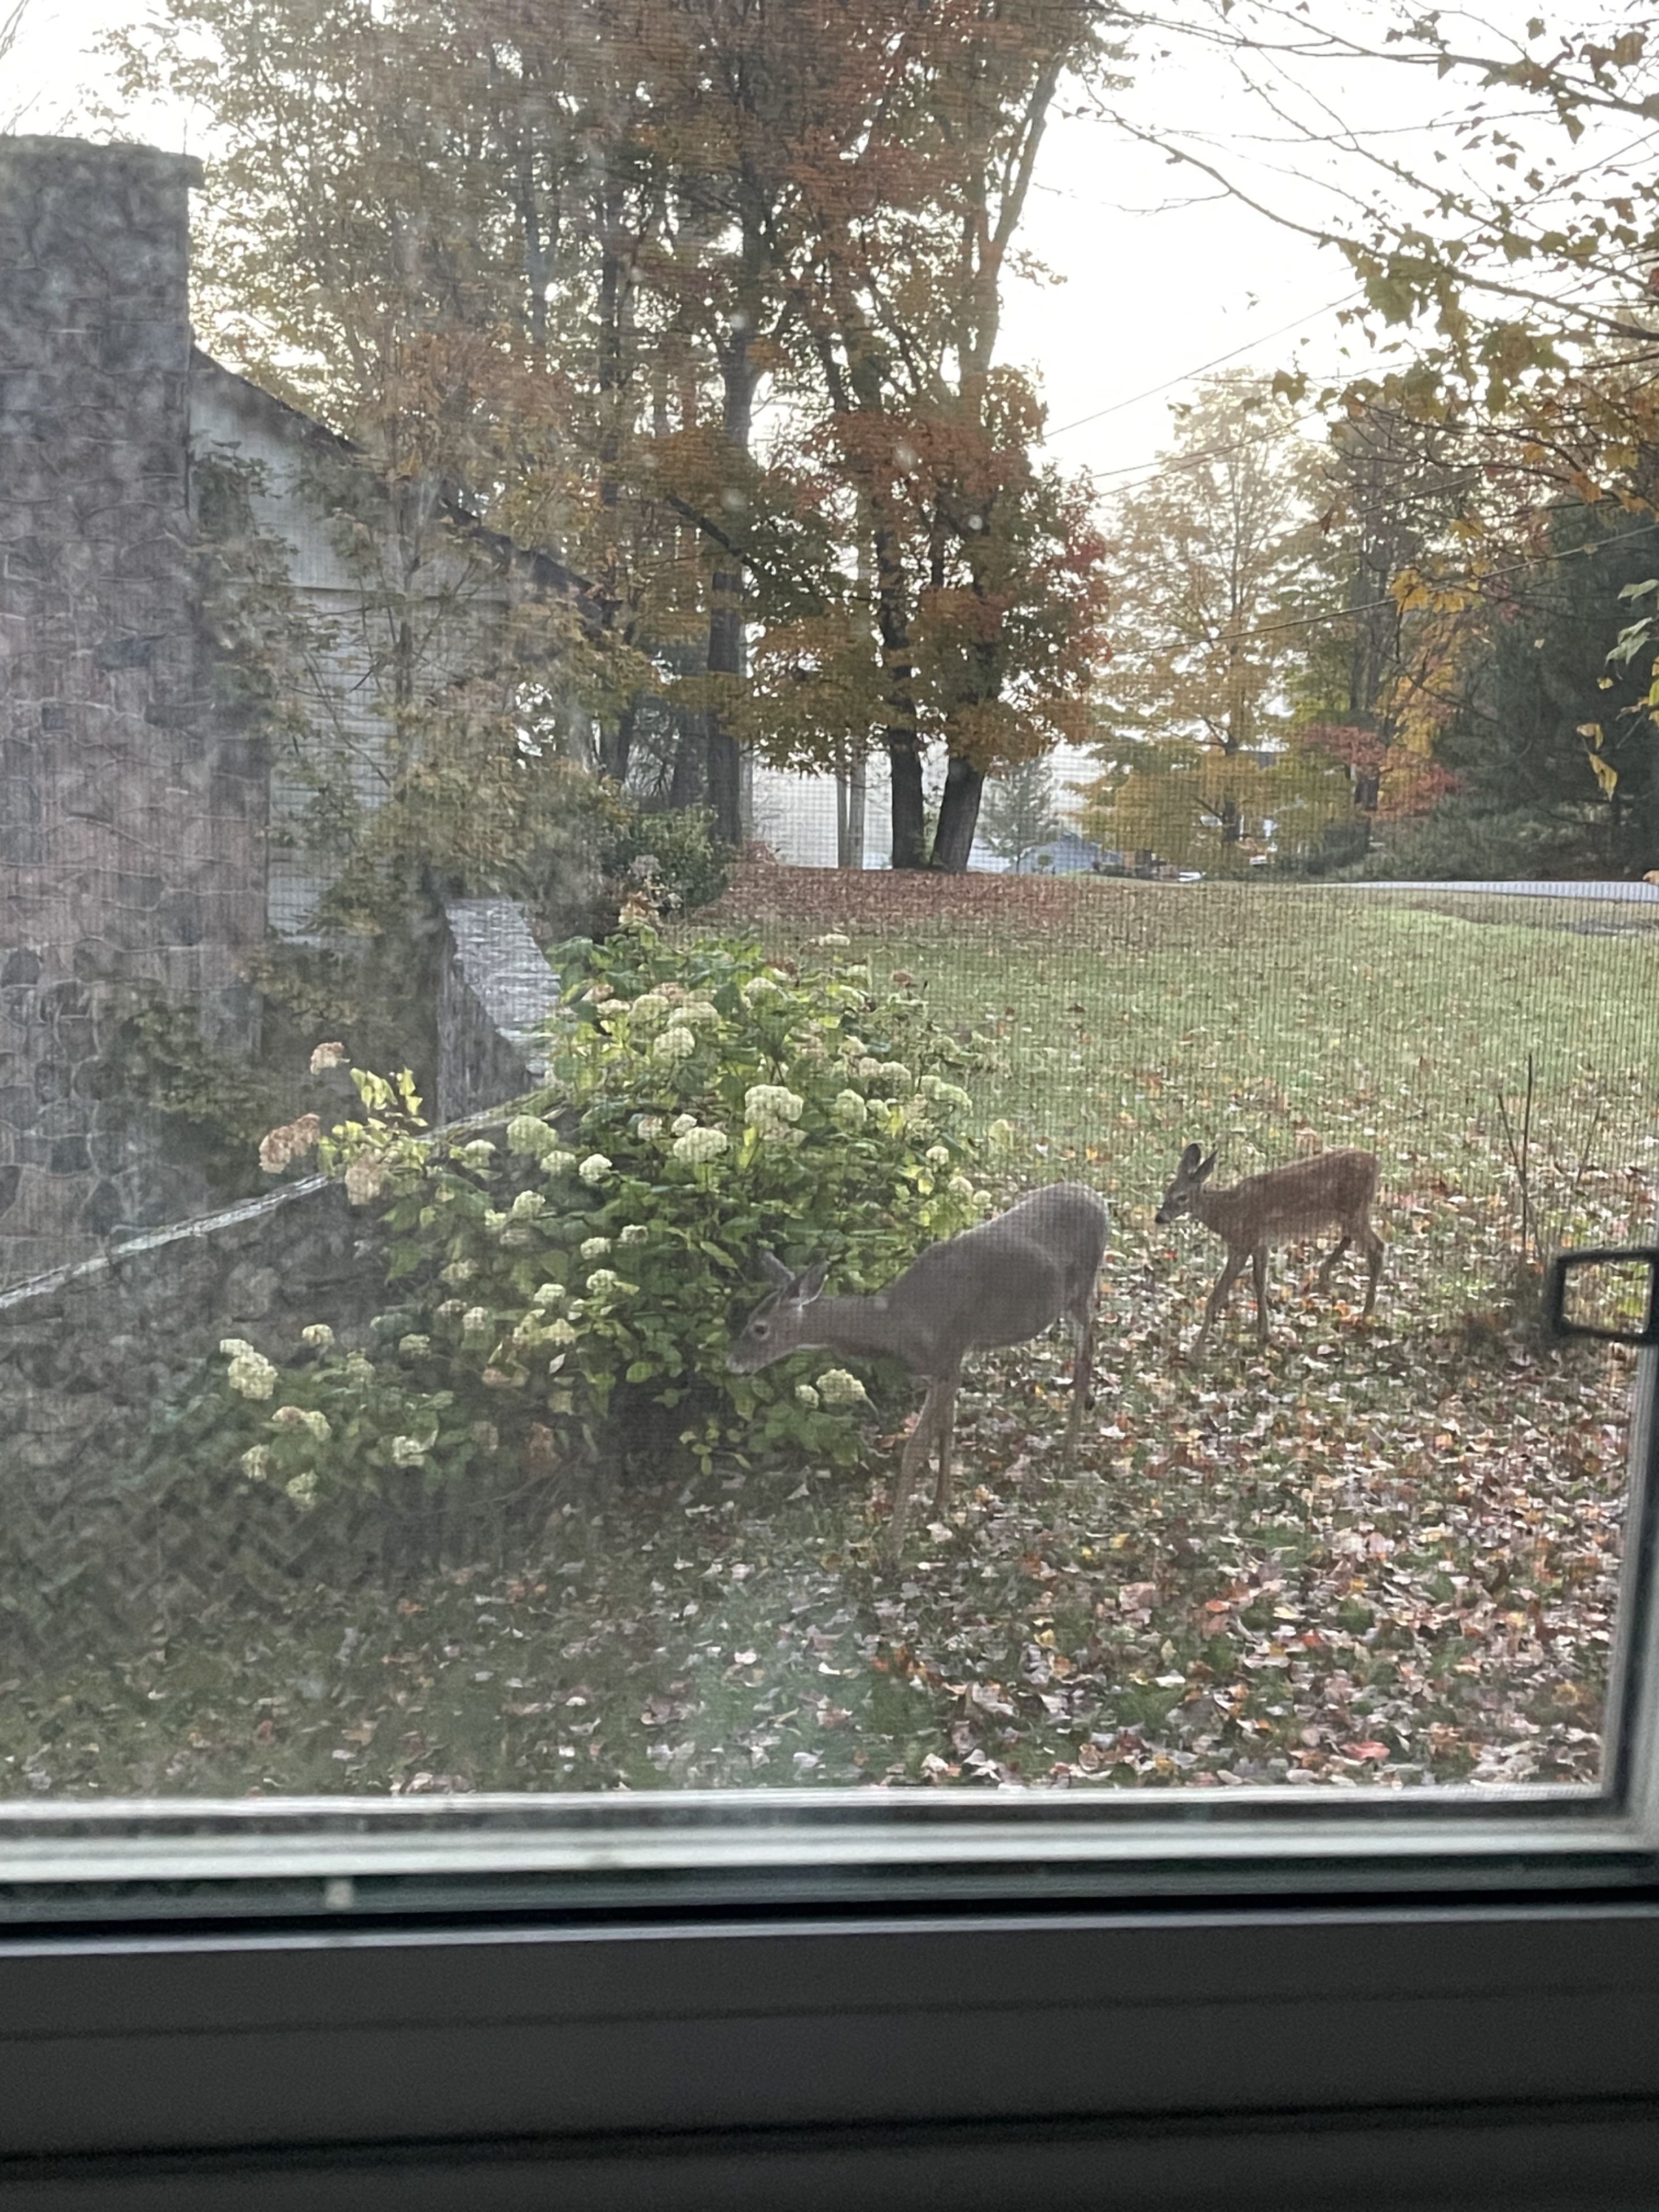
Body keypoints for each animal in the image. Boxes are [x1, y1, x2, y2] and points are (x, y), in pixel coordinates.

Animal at [727, 1183, 1110, 1563]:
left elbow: (915, 1446)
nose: (732, 1362)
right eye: (748, 1320)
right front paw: (940, 1504)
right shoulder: (942, 1368)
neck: (899, 1324)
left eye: (760, 1329)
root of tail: (1097, 1197)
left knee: (1087, 1351)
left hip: (1081, 1288)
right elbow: (946, 1429)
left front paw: (893, 1548)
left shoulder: (948, 1359)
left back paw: (1069, 1453)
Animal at [1155, 1143, 1383, 1355]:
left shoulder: (1243, 1243)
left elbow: (1217, 1297)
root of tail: (1375, 1162)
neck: (1227, 1212)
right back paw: (1327, 1277)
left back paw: (1366, 1314)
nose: (1160, 1218)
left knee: (1377, 1247)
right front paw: (1264, 1333)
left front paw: (1195, 1352)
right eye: (1167, 1192)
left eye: (1182, 1197)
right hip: (1349, 1213)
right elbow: (1259, 1283)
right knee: (1354, 1239)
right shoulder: (1259, 1244)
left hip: (1354, 1210)